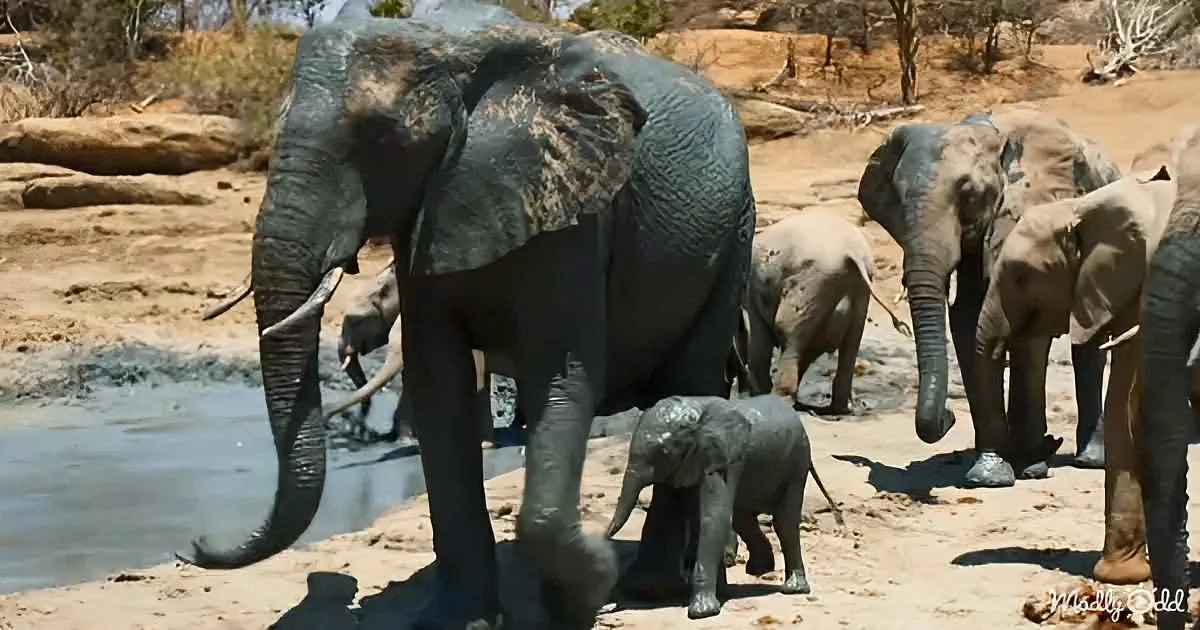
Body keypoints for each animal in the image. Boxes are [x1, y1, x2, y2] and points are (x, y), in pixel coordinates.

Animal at [179, 1, 756, 628]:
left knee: (689, 380)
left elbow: (561, 375)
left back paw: (649, 588)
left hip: (734, 235)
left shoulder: (574, 210)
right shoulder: (431, 212)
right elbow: (439, 382)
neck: (446, 47)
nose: (195, 545)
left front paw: (587, 589)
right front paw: (462, 620)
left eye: (382, 138)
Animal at [605, 394, 843, 619]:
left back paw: (792, 588)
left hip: (797, 462)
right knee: (743, 517)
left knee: (783, 521)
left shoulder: (724, 459)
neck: (696, 412)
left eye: (663, 452)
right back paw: (758, 571)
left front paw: (702, 612)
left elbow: (713, 517)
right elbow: (666, 517)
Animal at [745, 209, 912, 415]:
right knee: (850, 344)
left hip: (813, 281)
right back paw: (836, 409)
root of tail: (853, 252)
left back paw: (781, 400)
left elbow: (758, 339)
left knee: (788, 331)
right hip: (855, 290)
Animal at [857, 108, 1121, 480]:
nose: (949, 416)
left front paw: (1028, 467)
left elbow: (1021, 323)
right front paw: (990, 474)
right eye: (896, 200)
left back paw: (1087, 460)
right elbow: (968, 318)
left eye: (969, 194)